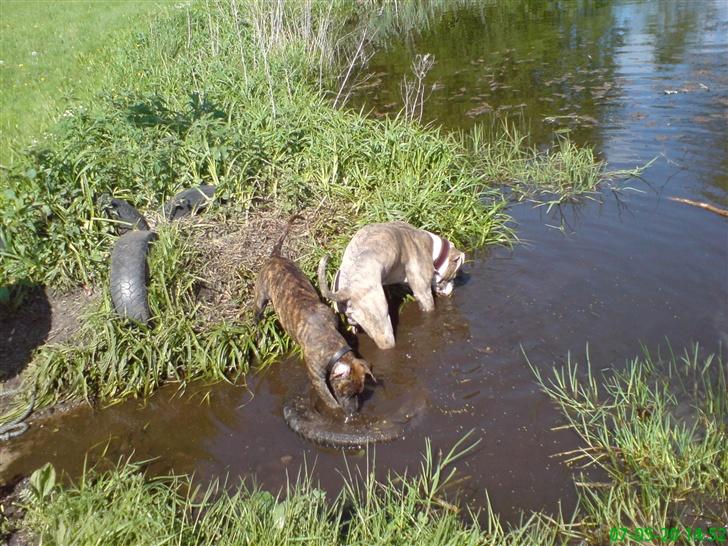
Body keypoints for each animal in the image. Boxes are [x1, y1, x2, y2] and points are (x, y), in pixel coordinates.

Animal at [253, 219, 372, 414]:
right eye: (346, 393)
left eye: (359, 392)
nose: (353, 412)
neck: (330, 343)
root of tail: (275, 256)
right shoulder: (318, 380)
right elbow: (330, 401)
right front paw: (336, 412)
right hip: (260, 297)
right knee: (257, 313)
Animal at [316, 220, 464, 348]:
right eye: (454, 275)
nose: (452, 291)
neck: (434, 249)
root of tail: (347, 290)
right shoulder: (423, 293)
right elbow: (429, 307)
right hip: (382, 325)